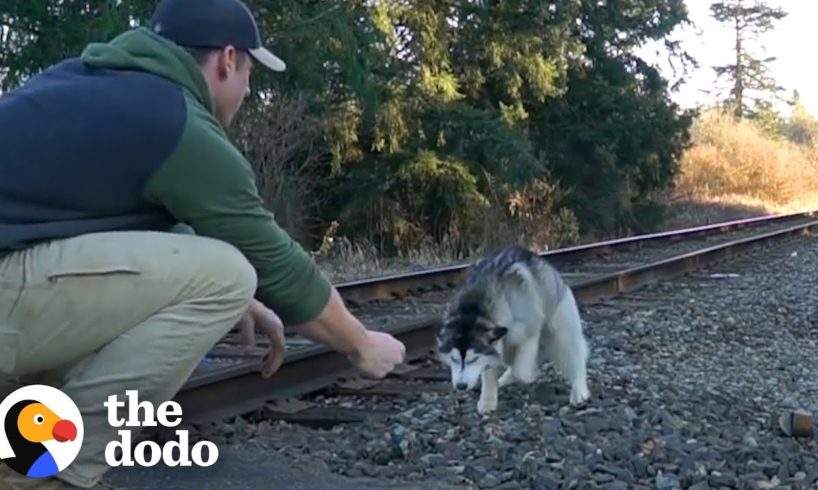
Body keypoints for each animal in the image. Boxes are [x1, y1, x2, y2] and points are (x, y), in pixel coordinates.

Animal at [436, 245, 588, 414]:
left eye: (473, 359)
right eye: (453, 359)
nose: (461, 386)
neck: (474, 310)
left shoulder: (530, 327)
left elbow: (521, 371)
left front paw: (525, 375)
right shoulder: (492, 347)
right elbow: (490, 370)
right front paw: (488, 400)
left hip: (560, 326)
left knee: (574, 354)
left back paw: (579, 389)